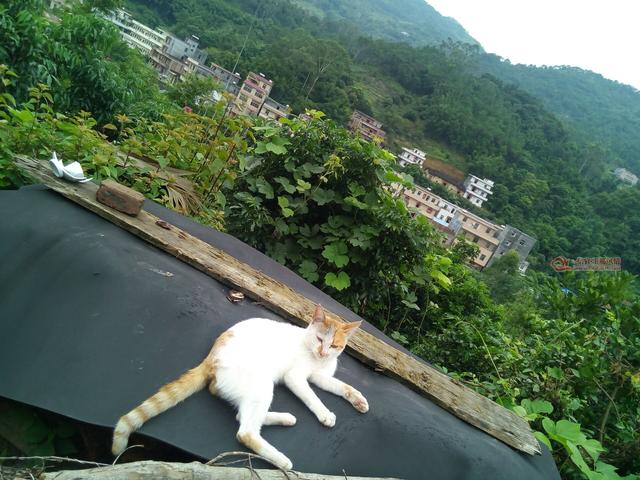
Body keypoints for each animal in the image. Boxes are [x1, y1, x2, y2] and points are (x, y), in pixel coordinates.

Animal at [112, 306, 368, 470]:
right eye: (319, 340)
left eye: (334, 346)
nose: (323, 352)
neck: (318, 360)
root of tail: (211, 358)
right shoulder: (295, 378)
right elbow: (313, 397)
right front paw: (325, 414)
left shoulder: (321, 377)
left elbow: (343, 386)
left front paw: (359, 400)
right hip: (262, 385)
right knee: (245, 431)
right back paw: (281, 459)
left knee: (241, 415)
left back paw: (284, 418)